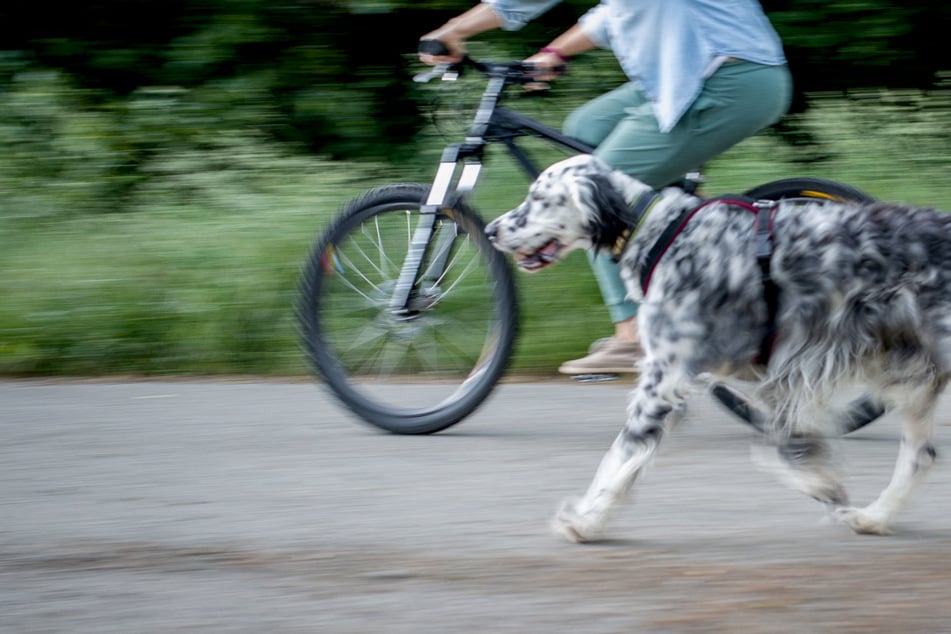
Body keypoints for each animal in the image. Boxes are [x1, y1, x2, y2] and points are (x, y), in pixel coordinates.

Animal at [488, 154, 948, 544]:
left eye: (539, 198)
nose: (491, 230)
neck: (659, 234)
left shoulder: (664, 380)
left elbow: (619, 456)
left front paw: (587, 520)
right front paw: (823, 482)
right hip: (915, 380)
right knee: (920, 455)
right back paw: (874, 517)